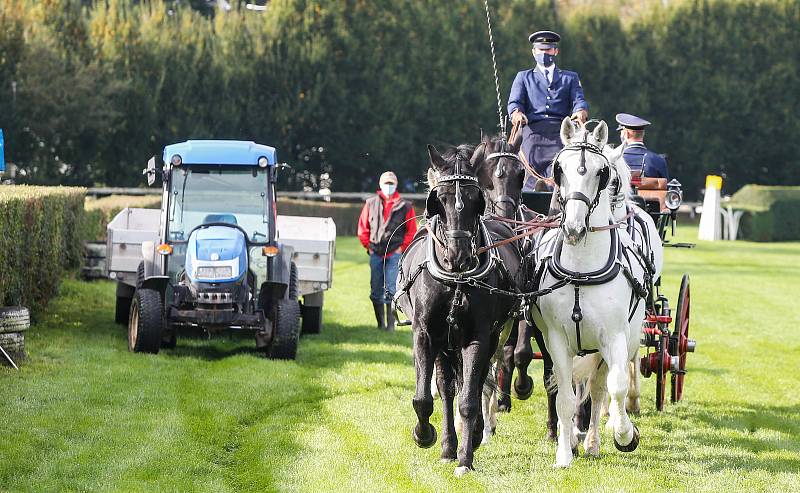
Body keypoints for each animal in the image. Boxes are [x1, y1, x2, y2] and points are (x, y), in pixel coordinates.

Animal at [396, 144, 520, 474]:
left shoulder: (479, 335)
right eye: (439, 200)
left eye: (476, 199)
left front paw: (466, 457)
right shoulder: (425, 334)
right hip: (445, 343)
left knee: (473, 385)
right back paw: (447, 445)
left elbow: (469, 398)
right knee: (446, 388)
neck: (456, 280)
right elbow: (425, 397)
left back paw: (470, 437)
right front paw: (425, 435)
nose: (459, 255)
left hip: (491, 337)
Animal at [528, 117, 652, 468]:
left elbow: (617, 387)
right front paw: (564, 454)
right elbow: (565, 398)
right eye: (559, 169)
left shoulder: (614, 337)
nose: (573, 228)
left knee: (600, 390)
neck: (582, 269)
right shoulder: (556, 340)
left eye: (601, 172)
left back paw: (595, 441)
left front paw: (625, 434)